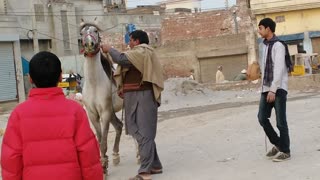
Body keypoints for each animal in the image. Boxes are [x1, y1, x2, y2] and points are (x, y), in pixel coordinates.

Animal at [79, 19, 124, 174]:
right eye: (81, 33)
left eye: (95, 31)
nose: (89, 44)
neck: (94, 84)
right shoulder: (93, 114)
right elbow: (99, 140)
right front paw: (103, 164)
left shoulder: (105, 113)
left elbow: (103, 142)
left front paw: (104, 166)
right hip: (112, 112)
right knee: (119, 126)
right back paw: (116, 155)